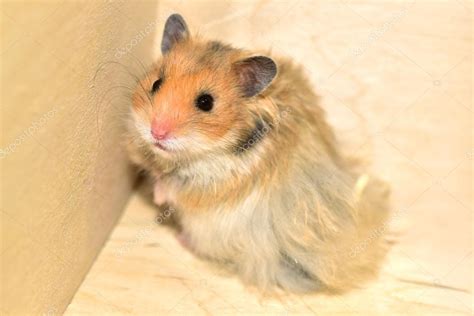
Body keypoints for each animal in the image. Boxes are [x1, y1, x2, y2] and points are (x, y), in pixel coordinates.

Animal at [126, 13, 388, 292]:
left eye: (206, 102)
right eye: (156, 84)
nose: (156, 132)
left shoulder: (213, 185)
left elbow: (174, 187)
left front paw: (159, 197)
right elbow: (157, 173)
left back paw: (181, 237)